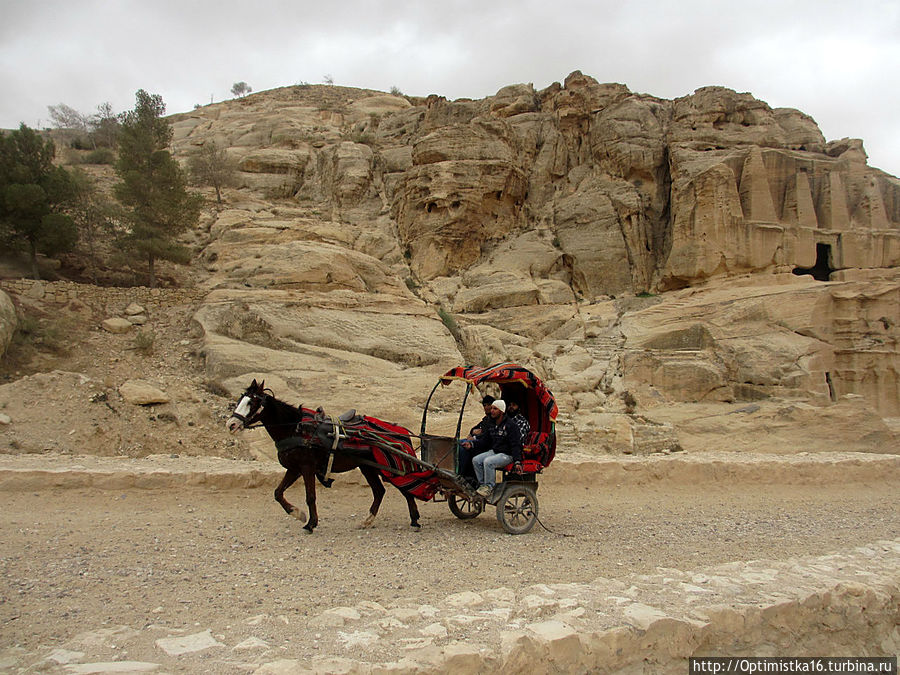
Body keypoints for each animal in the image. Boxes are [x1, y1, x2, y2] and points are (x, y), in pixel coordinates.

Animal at [223, 380, 424, 532]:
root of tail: (400, 430)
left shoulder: (307, 467)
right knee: (381, 490)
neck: (295, 428)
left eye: (251, 402)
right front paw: (297, 513)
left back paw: (414, 519)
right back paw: (371, 520)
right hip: (369, 466)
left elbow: (310, 496)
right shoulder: (294, 468)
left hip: (387, 466)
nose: (231, 424)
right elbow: (278, 493)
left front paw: (310, 523)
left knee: (405, 487)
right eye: (240, 399)